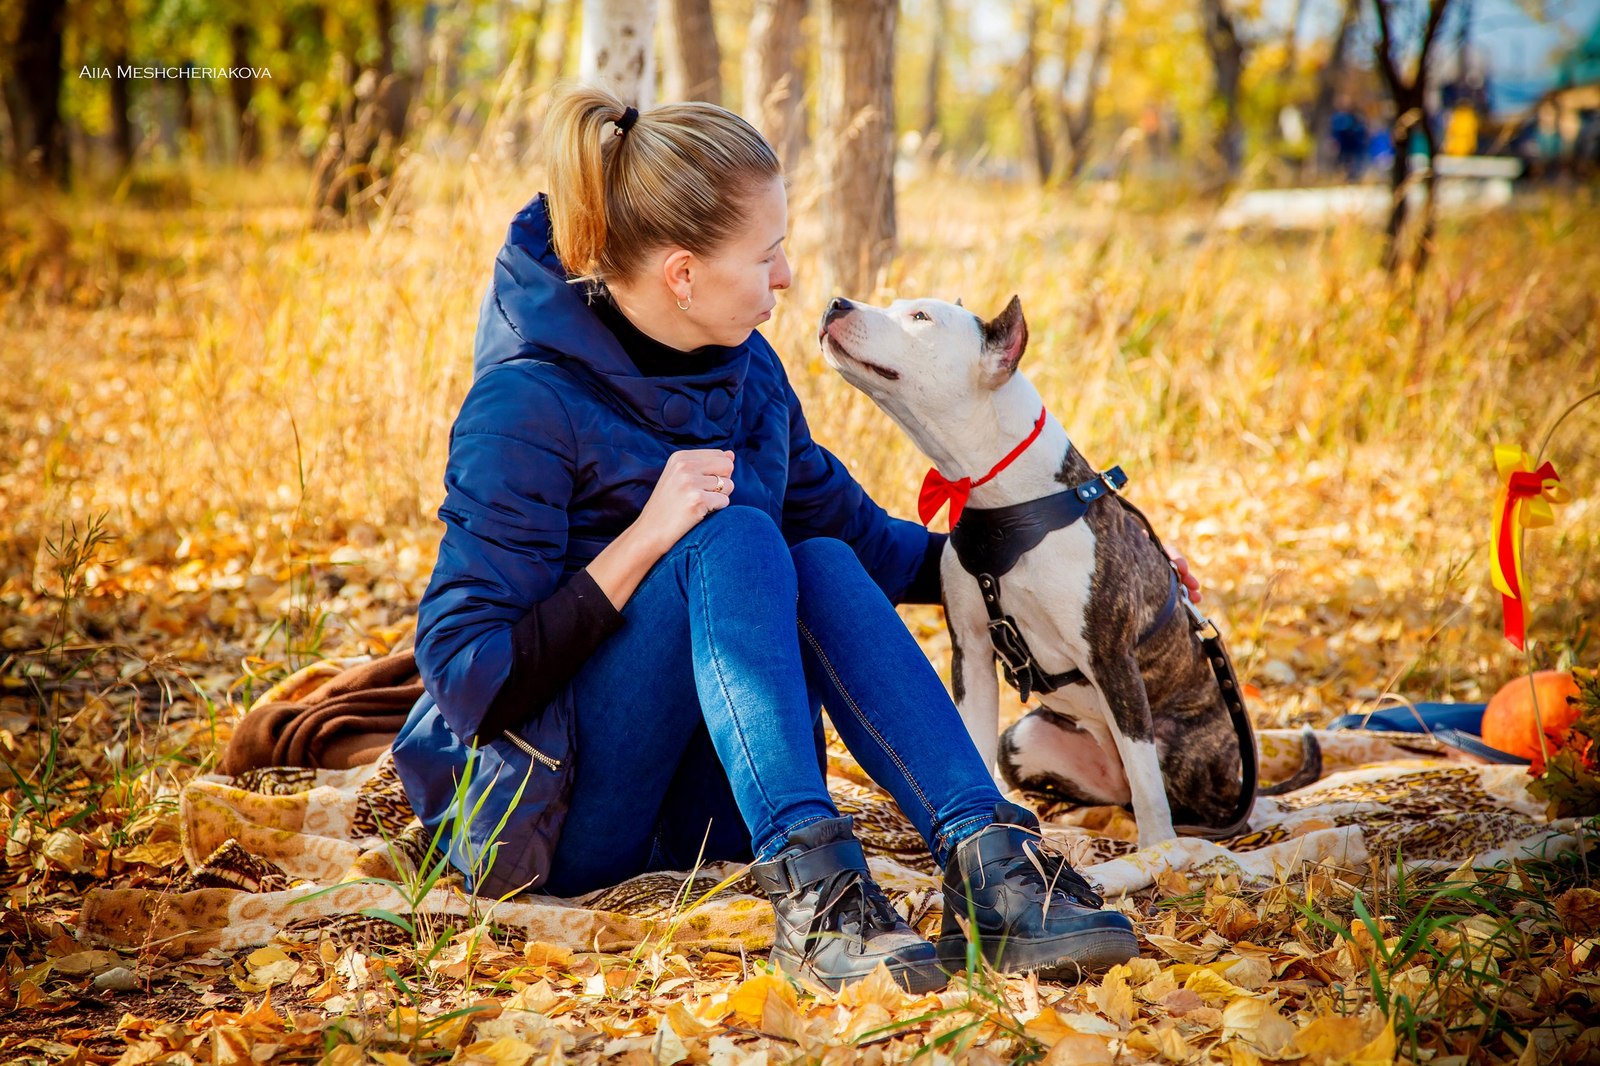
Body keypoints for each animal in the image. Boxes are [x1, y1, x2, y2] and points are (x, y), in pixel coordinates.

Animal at [819, 292, 1318, 845]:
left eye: (920, 318)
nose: (836, 302)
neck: (1002, 499)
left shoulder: (1111, 658)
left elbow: (1148, 789)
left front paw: (1158, 853)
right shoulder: (971, 652)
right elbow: (972, 741)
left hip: (1175, 746)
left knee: (1176, 794)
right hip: (1023, 740)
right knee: (1109, 791)